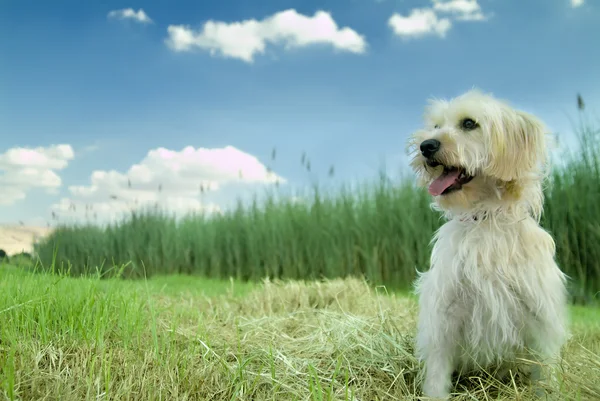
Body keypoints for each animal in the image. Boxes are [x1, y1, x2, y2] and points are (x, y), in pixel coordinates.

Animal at [410, 89, 568, 398]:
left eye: (469, 123)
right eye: (436, 126)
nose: (425, 146)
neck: (484, 218)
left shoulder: (540, 314)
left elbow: (545, 371)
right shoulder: (444, 314)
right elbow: (437, 373)